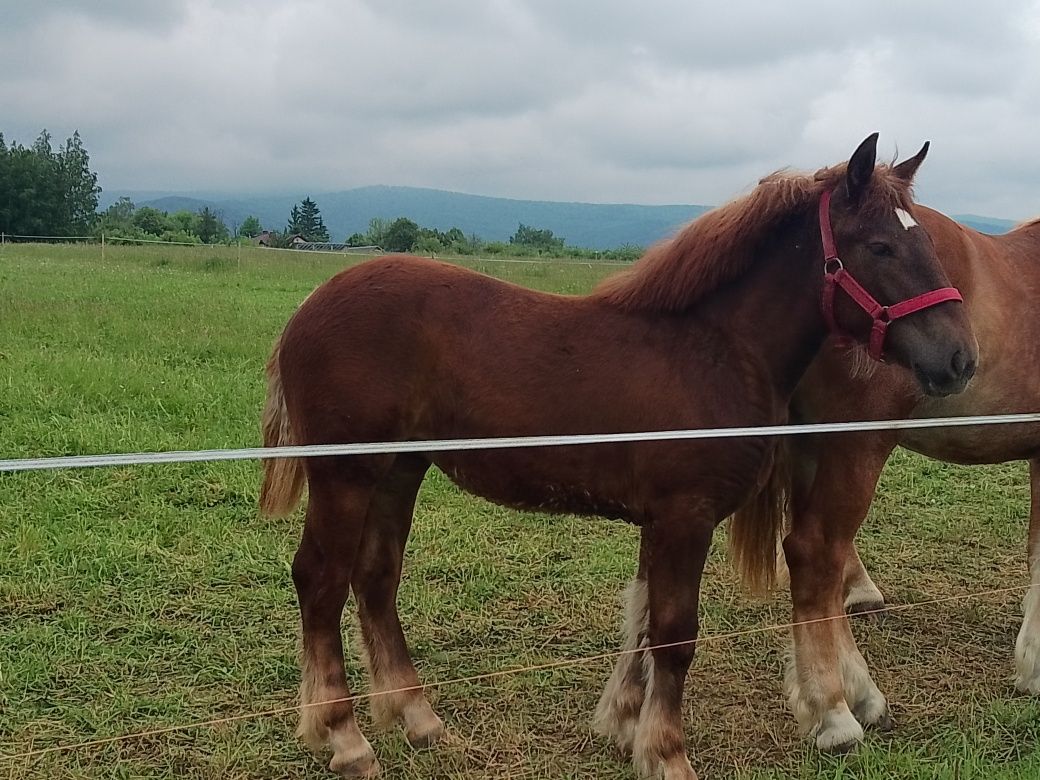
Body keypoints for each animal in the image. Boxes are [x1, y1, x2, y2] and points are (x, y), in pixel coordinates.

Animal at [257, 136, 973, 780]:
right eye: (879, 246)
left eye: (927, 245)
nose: (959, 360)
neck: (717, 348)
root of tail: (307, 309)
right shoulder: (685, 516)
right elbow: (676, 634)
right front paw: (667, 755)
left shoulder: (658, 520)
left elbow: (644, 623)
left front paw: (628, 729)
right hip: (345, 474)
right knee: (320, 579)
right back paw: (344, 738)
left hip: (398, 470)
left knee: (376, 578)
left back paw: (417, 718)